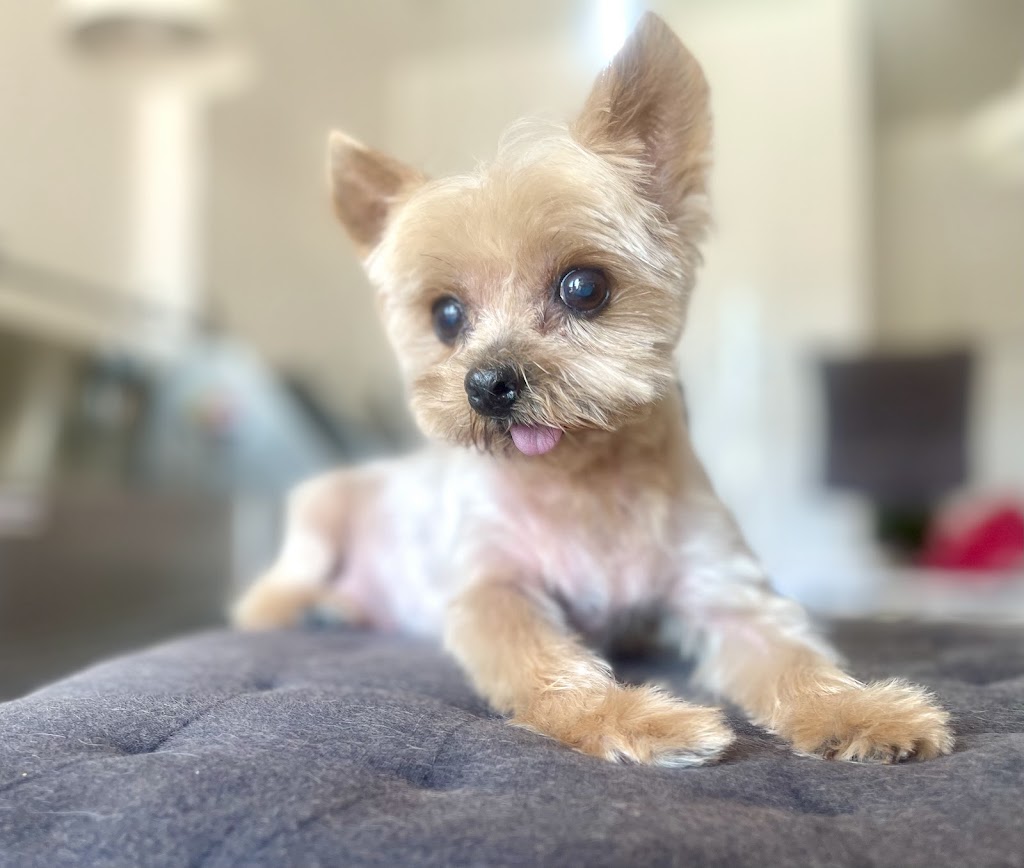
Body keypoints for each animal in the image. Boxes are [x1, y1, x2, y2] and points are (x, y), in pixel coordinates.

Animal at [233, 13, 953, 766]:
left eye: (584, 286)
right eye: (445, 315)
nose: (487, 384)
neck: (582, 477)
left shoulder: (726, 589)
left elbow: (794, 658)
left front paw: (862, 712)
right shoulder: (493, 591)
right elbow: (546, 665)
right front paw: (631, 718)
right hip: (321, 505)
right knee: (269, 591)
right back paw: (309, 607)